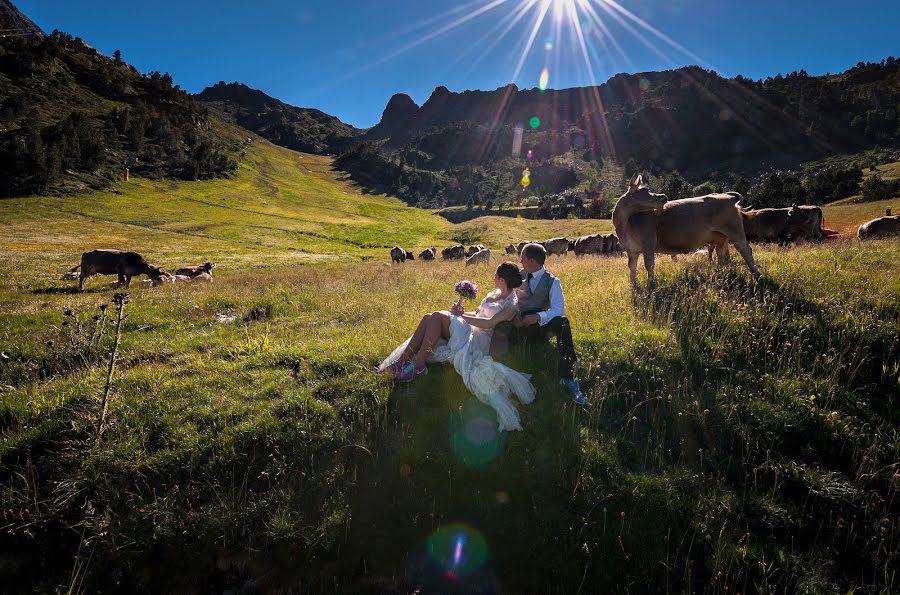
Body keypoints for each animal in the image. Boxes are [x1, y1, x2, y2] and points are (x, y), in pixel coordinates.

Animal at [612, 173, 760, 288]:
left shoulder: (648, 243)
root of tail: (727, 196)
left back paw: (757, 274)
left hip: (735, 231)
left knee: (745, 250)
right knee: (722, 255)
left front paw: (651, 285)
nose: (663, 196)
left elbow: (649, 265)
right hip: (720, 237)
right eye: (645, 191)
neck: (625, 224)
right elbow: (632, 267)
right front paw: (634, 285)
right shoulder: (632, 249)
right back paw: (721, 275)